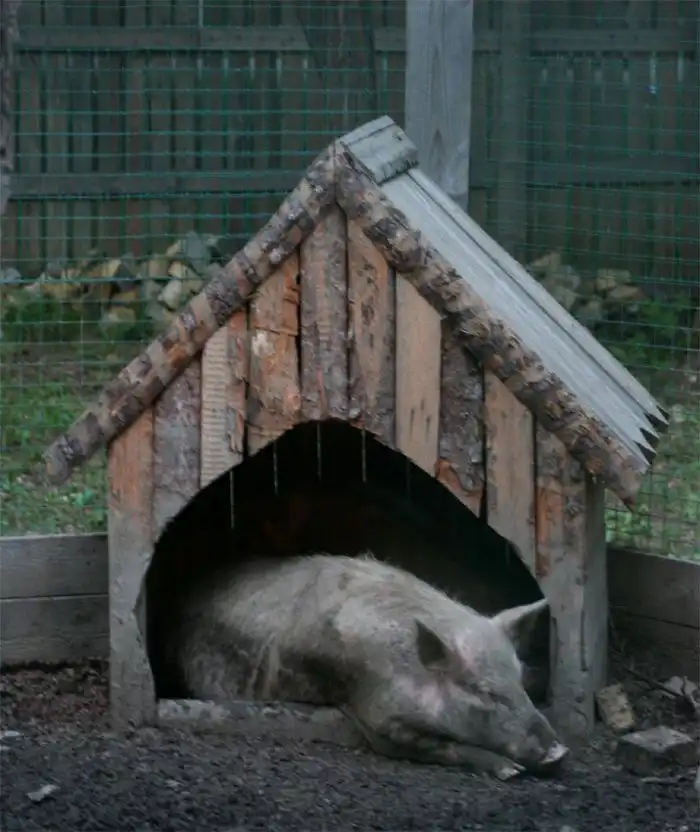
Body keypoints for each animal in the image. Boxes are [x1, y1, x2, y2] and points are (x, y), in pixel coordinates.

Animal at [171, 552, 568, 779]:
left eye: (520, 680)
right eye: (482, 691)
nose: (559, 751)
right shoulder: (376, 716)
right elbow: (438, 748)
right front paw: (510, 772)